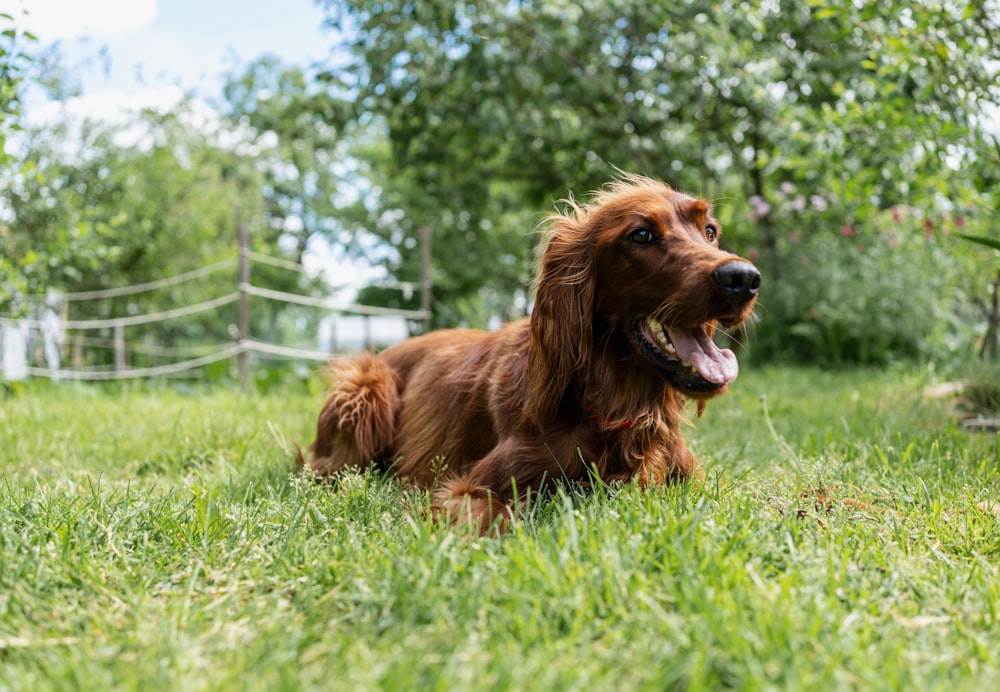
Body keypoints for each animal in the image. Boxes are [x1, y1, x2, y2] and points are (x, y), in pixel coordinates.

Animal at [300, 176, 760, 532]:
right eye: (641, 235)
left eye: (710, 230)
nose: (743, 278)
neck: (614, 410)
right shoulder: (462, 491)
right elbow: (502, 515)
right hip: (364, 388)